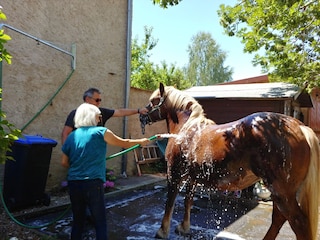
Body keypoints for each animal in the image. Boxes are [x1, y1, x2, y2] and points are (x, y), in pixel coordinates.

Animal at [140, 83, 320, 240]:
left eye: (153, 101)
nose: (141, 114)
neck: (186, 129)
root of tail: (299, 127)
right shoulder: (192, 178)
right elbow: (187, 201)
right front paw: (184, 227)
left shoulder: (174, 175)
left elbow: (169, 203)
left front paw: (162, 231)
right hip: (283, 193)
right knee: (279, 218)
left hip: (281, 192)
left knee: (297, 222)